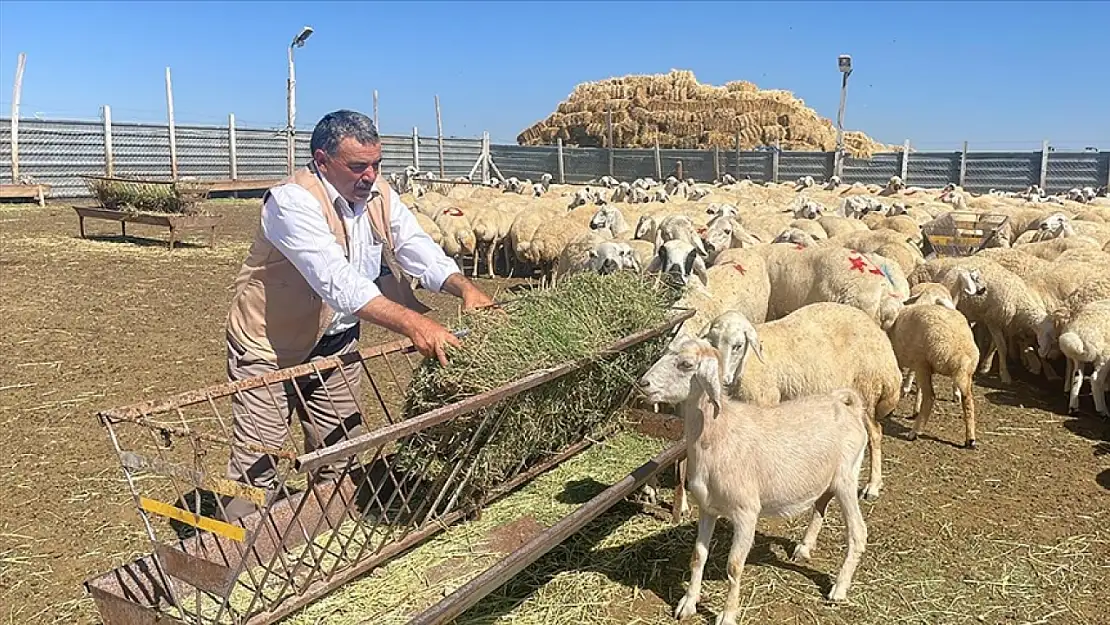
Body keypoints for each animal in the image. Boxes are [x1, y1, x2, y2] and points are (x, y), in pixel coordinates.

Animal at [639, 337, 870, 621]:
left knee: (858, 532)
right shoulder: (707, 507)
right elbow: (698, 556)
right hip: (827, 479)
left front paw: (727, 615)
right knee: (820, 505)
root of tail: (848, 406)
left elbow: (734, 566)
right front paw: (687, 604)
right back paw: (804, 548)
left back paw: (838, 589)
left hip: (847, 478)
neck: (719, 433)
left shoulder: (746, 513)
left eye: (686, 364)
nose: (643, 384)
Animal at [701, 299, 901, 501]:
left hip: (867, 389)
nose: (721, 378)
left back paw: (873, 485)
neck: (748, 363)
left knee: (875, 433)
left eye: (738, 345)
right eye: (712, 343)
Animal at [883, 299, 981, 448]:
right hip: (965, 373)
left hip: (923, 363)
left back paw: (914, 432)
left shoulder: (910, 362)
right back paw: (970, 439)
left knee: (930, 397)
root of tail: (960, 354)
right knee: (968, 400)